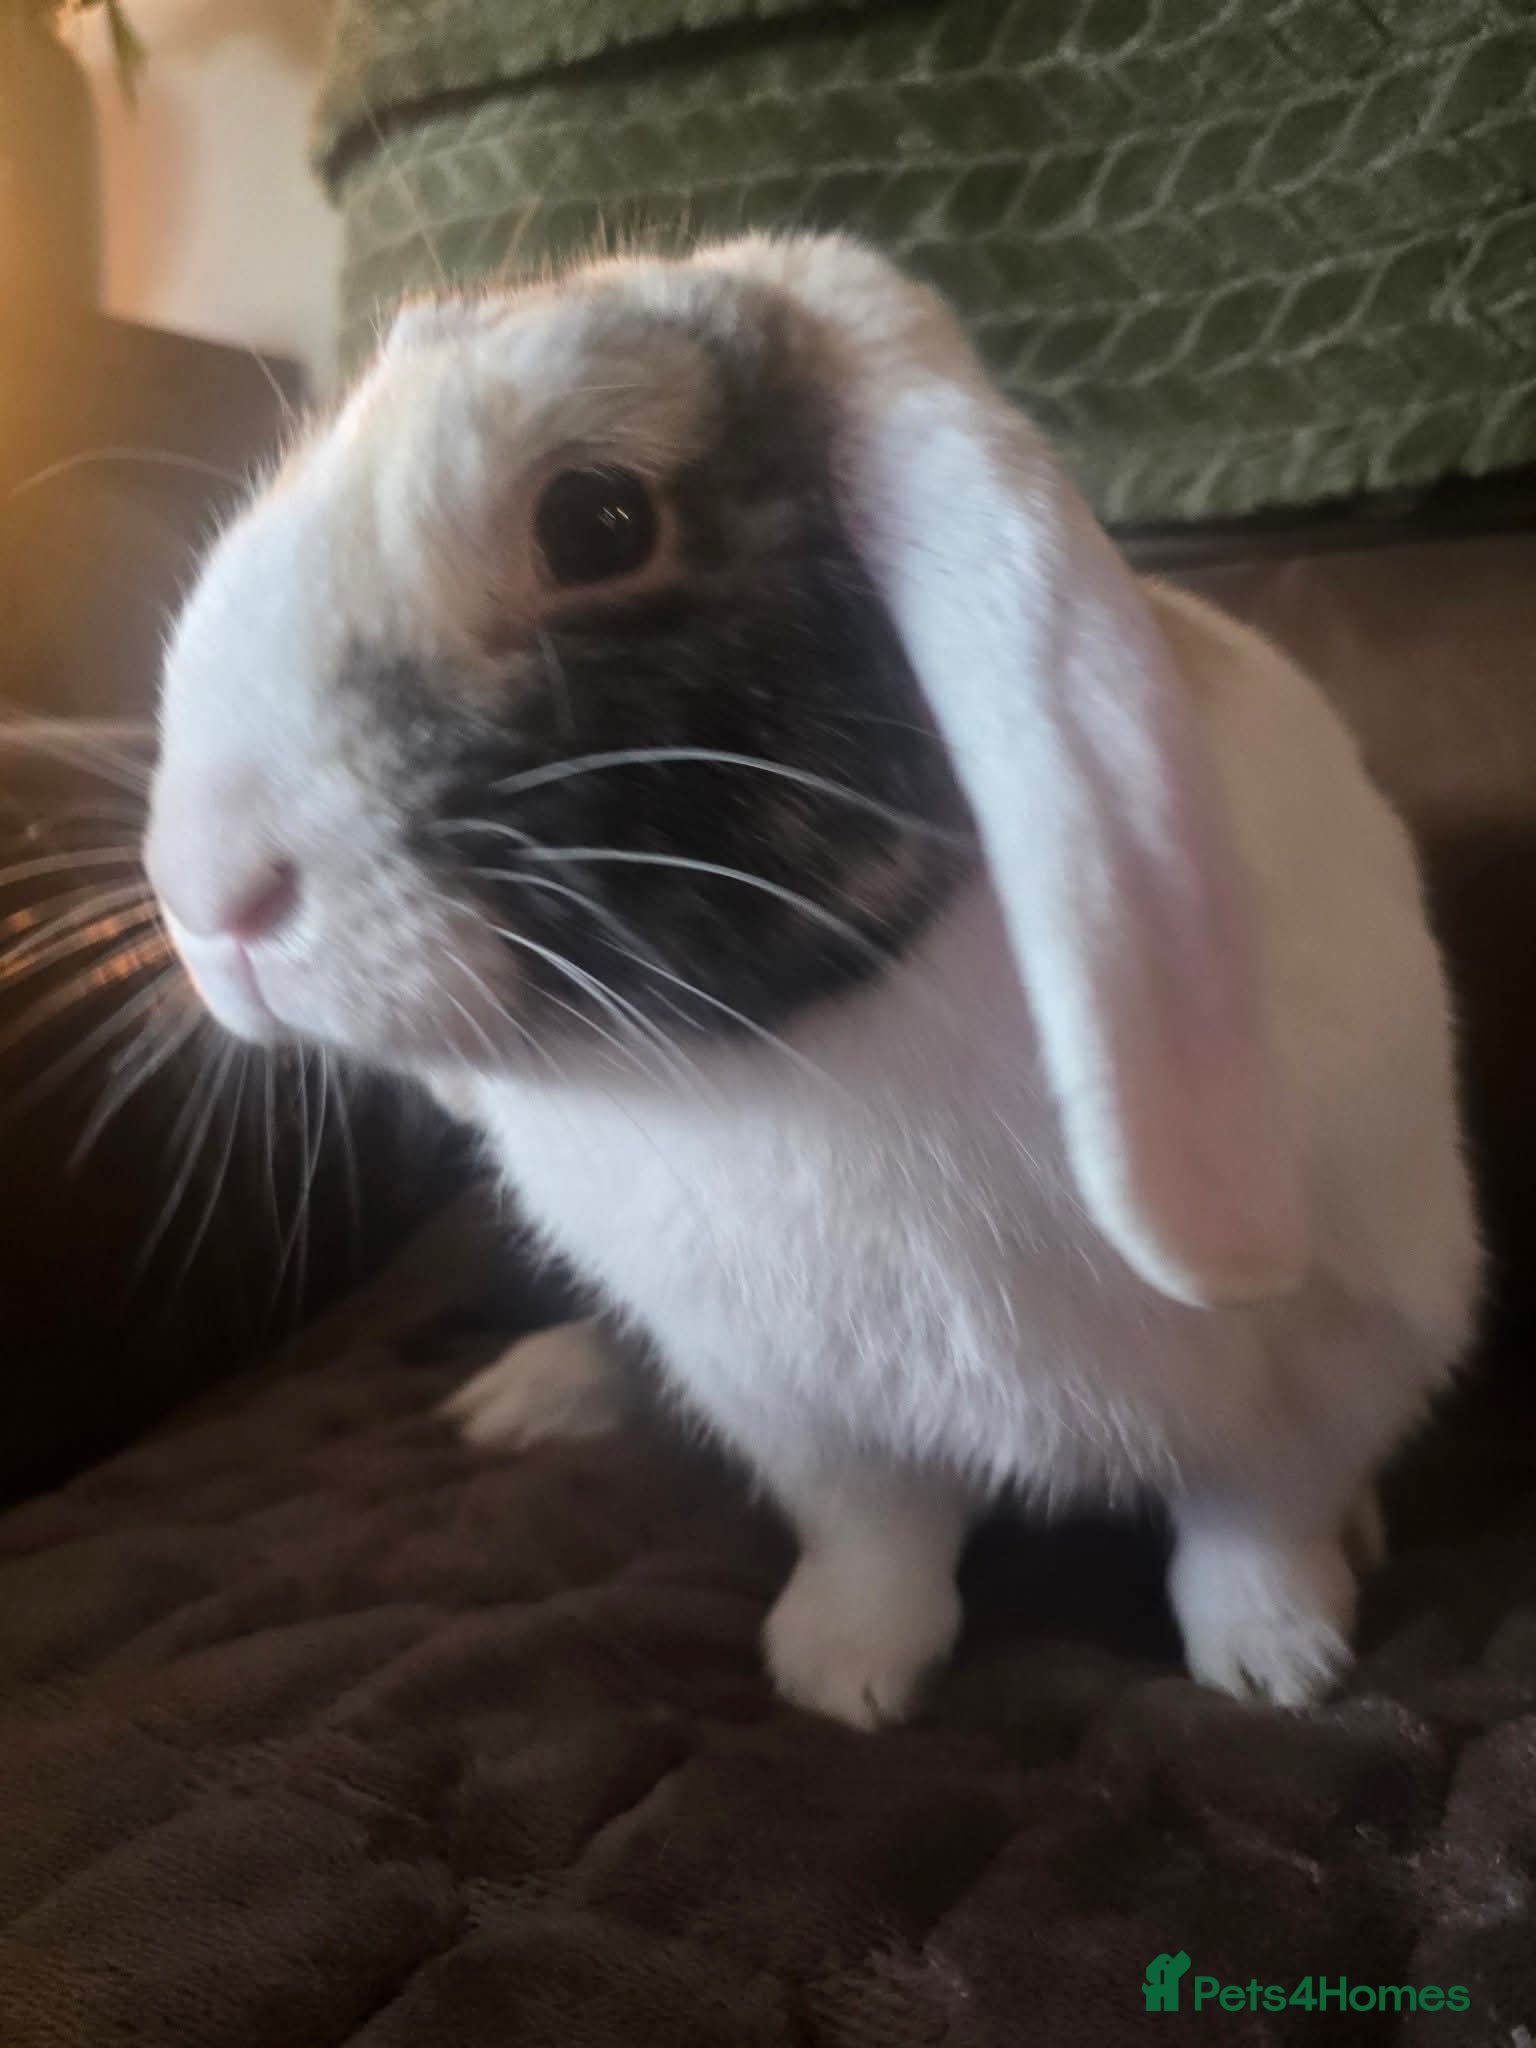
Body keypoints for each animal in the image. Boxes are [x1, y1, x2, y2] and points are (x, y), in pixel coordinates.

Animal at [145, 233, 1481, 1728]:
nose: (202, 893)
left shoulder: (1333, 1364)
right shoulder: (797, 1405)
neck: (777, 1050)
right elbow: (875, 1536)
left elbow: (1250, 1528)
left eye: (597, 522)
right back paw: (526, 1397)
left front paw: (1277, 1669)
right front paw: (843, 1678)